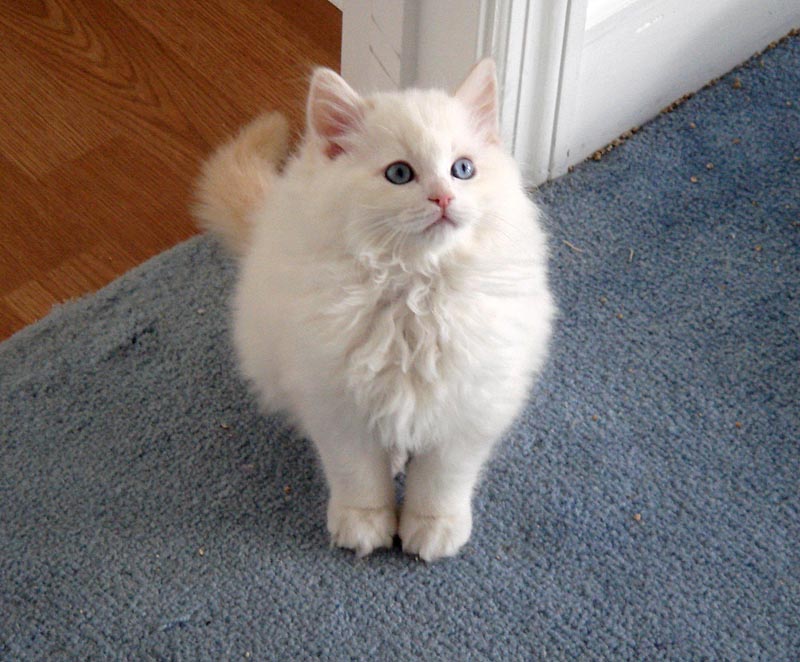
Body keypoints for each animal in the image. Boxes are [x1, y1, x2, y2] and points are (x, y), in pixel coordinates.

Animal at [197, 59, 552, 564]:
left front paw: (432, 530)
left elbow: (441, 482)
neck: (414, 293)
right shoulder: (336, 404)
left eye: (462, 170)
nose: (444, 198)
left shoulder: (469, 404)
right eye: (400, 174)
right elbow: (358, 477)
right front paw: (365, 526)